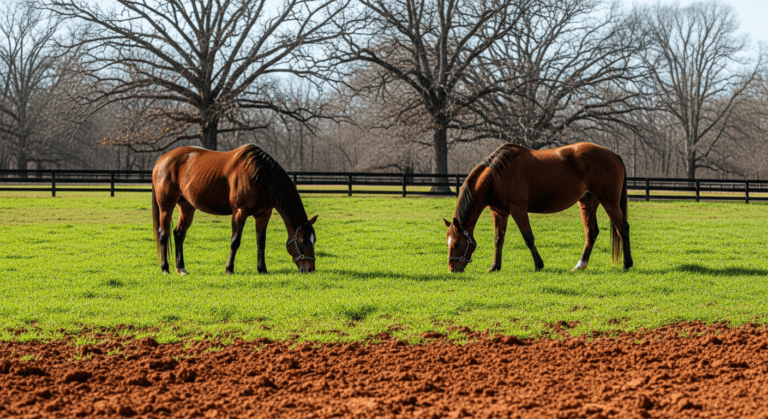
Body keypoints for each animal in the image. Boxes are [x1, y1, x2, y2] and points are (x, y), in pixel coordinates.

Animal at [151, 144, 318, 274]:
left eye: (314, 240)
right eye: (304, 241)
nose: (310, 269)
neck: (258, 175)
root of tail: (161, 160)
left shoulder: (264, 214)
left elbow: (261, 242)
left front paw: (262, 269)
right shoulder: (239, 213)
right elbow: (235, 241)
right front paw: (229, 268)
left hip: (187, 207)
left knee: (179, 234)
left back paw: (181, 267)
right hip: (166, 206)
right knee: (164, 235)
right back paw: (165, 268)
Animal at [443, 142, 632, 273]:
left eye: (457, 242)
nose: (453, 269)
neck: (496, 176)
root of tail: (613, 154)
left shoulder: (518, 210)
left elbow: (528, 237)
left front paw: (539, 265)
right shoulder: (499, 213)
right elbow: (498, 239)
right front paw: (495, 266)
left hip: (609, 201)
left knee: (622, 227)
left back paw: (626, 264)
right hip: (588, 202)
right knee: (591, 233)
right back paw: (581, 264)